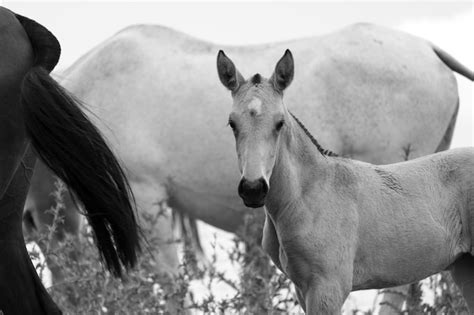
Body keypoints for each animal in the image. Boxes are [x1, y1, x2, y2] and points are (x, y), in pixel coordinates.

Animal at [218, 48, 474, 314]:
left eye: (280, 123)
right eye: (232, 123)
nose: (253, 189)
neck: (308, 195)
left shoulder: (328, 289)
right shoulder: (303, 289)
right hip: (465, 267)